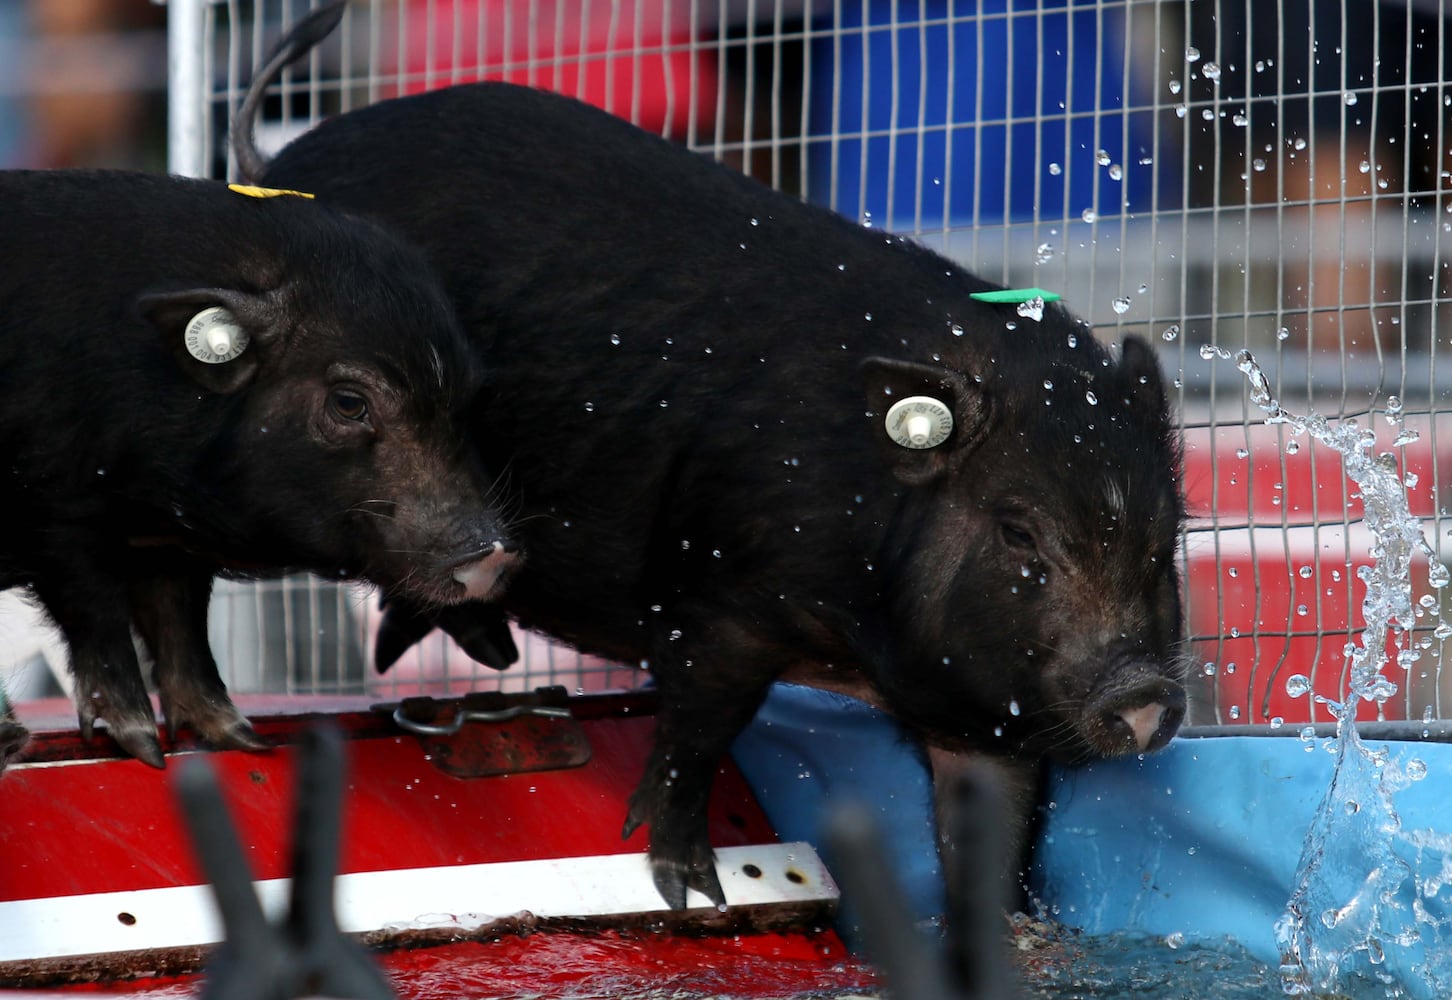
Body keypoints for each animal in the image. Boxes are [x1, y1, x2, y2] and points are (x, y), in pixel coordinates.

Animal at [0, 169, 516, 766]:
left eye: (469, 398)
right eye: (349, 402)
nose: (492, 552)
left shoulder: (164, 539)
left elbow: (180, 624)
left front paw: (242, 740)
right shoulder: (56, 508)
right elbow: (96, 611)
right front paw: (145, 749)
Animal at [238, 7, 1184, 911]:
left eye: (1165, 534)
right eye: (1021, 531)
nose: (1146, 698)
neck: (859, 643)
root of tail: (283, 159)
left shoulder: (976, 719)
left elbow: (996, 839)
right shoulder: (721, 595)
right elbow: (699, 729)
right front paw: (692, 890)